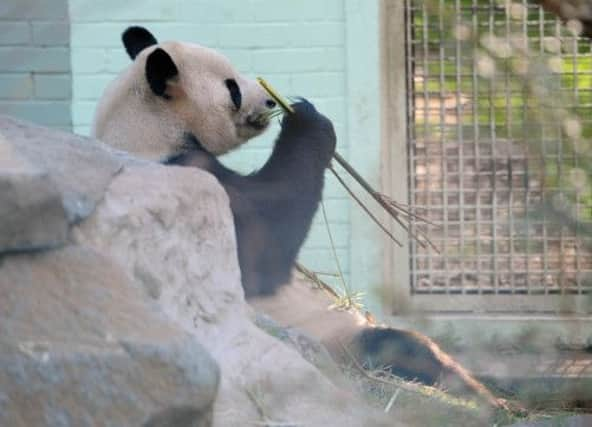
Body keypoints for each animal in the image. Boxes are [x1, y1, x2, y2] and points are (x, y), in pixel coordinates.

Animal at [92, 25, 508, 412]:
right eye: (232, 88)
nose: (267, 99)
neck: (145, 131)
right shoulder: (187, 181)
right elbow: (263, 250)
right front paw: (307, 120)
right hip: (330, 341)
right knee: (394, 350)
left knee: (414, 348)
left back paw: (491, 398)